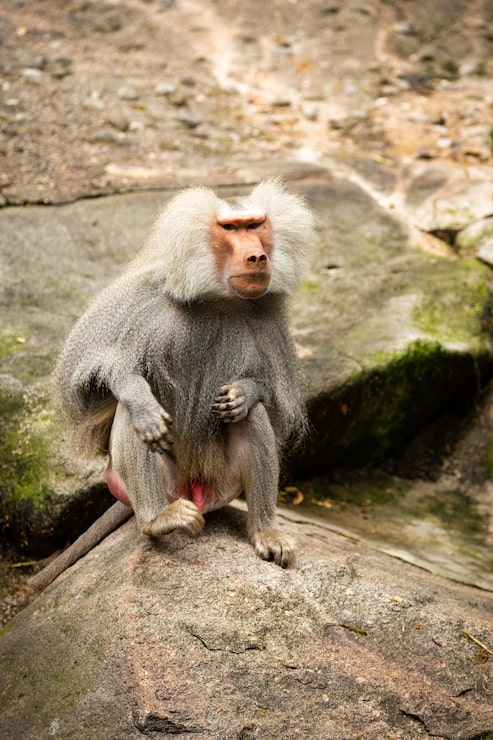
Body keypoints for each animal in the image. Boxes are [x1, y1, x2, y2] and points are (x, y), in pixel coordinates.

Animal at [30, 178, 315, 592]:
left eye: (255, 225)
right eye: (230, 228)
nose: (258, 257)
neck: (218, 299)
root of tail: (191, 491)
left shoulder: (269, 318)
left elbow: (277, 409)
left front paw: (244, 392)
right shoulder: (137, 298)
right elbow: (83, 390)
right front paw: (137, 395)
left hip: (223, 485)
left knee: (252, 418)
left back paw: (264, 531)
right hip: (154, 484)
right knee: (131, 419)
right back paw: (157, 519)